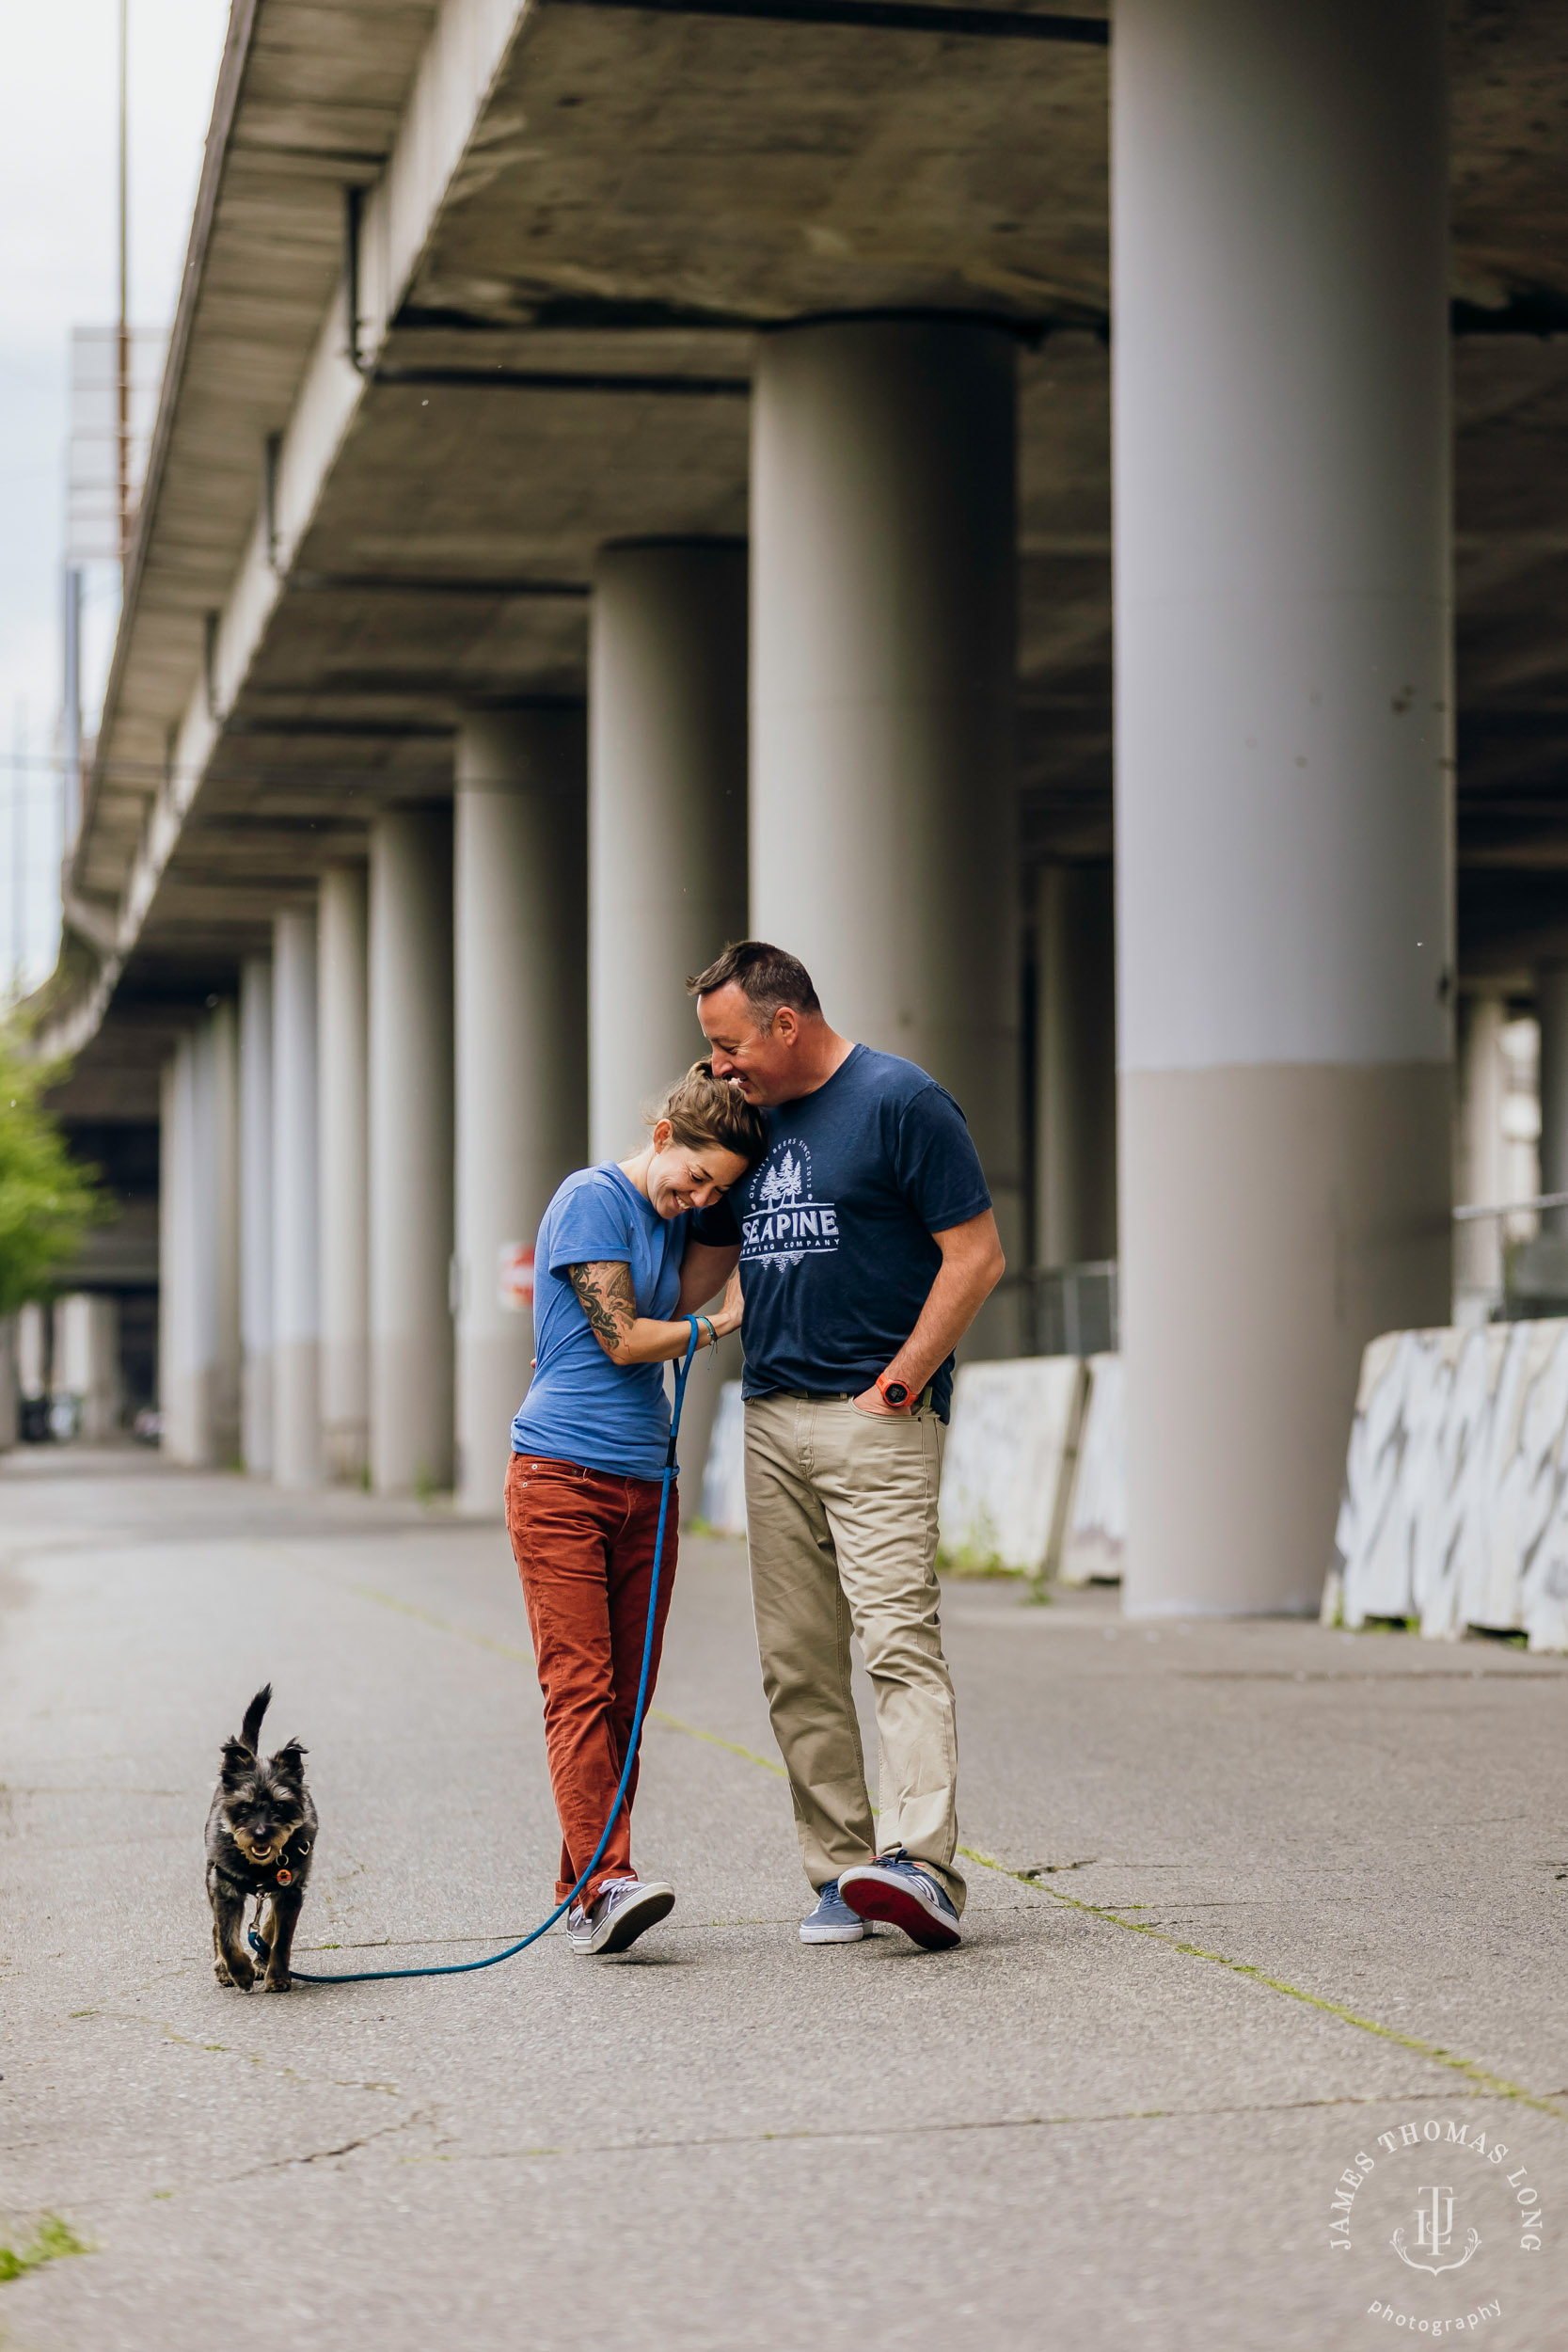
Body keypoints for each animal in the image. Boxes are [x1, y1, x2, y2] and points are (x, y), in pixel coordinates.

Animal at [206, 1684, 319, 1994]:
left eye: (280, 1805)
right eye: (244, 1806)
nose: (260, 1834)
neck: (259, 1866)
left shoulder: (291, 1892)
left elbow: (281, 1940)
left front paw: (277, 1976)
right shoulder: (224, 1889)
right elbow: (227, 1938)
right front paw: (240, 1971)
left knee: (268, 1924)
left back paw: (261, 1961)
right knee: (217, 1929)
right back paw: (224, 1969)